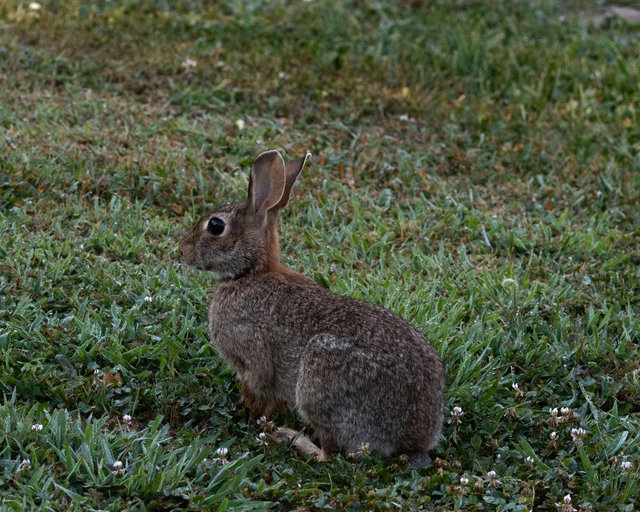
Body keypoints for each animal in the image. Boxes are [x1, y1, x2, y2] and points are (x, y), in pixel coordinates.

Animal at [179, 149, 446, 468]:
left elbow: (258, 393)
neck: (250, 272)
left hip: (319, 381)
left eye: (216, 226)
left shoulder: (252, 359)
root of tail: (413, 440)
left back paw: (293, 439)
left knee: (332, 453)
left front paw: (254, 419)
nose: (181, 251)